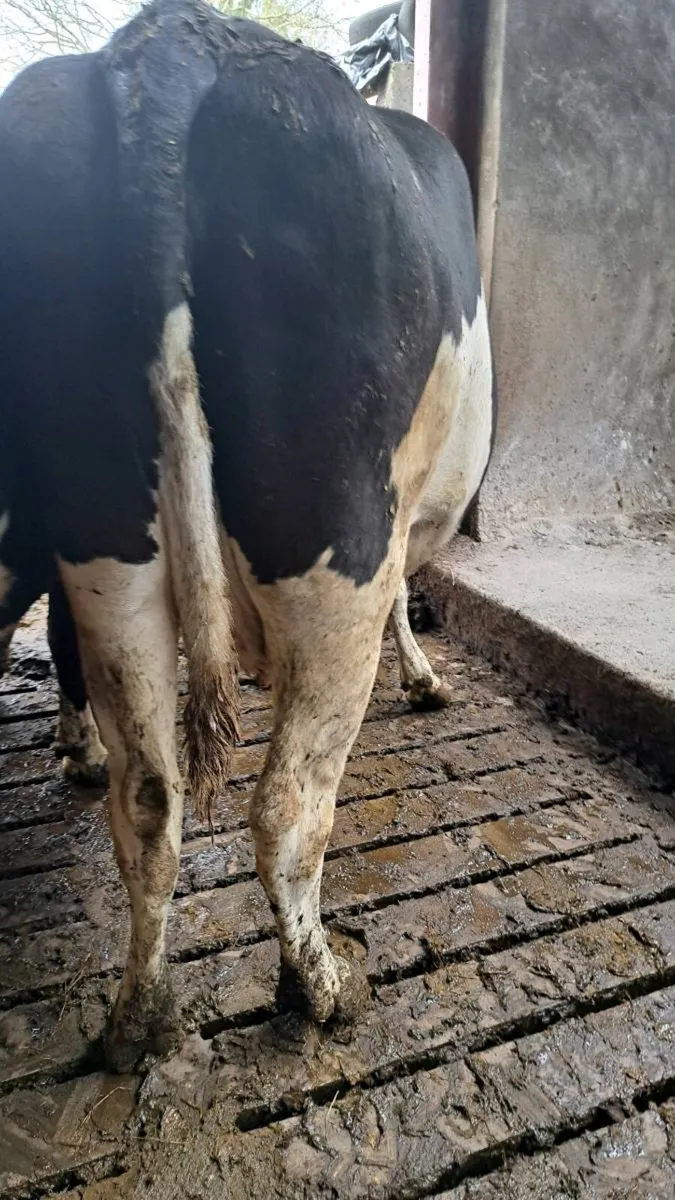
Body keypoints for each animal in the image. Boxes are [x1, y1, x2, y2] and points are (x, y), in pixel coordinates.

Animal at [0, 0, 495, 1071]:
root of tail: (176, 43)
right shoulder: (398, 526)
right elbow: (406, 603)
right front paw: (424, 678)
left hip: (107, 549)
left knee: (149, 800)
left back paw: (140, 1017)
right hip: (334, 540)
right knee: (287, 809)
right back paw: (320, 985)